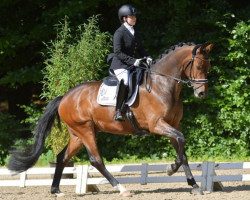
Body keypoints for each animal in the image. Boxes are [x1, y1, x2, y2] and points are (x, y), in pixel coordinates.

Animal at [8, 42, 213, 197]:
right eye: (198, 66)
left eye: (208, 67)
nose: (202, 93)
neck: (162, 85)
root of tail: (64, 97)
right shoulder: (157, 125)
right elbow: (181, 142)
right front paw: (170, 169)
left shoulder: (173, 124)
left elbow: (182, 151)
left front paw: (193, 185)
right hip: (85, 130)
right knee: (95, 160)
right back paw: (121, 188)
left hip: (77, 135)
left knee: (62, 157)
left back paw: (56, 190)